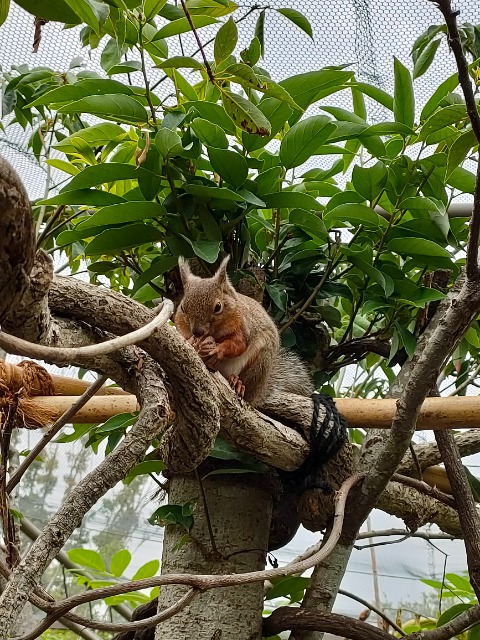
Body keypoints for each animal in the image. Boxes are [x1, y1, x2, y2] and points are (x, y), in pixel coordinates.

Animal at [174, 255, 314, 404]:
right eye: (182, 307)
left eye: (218, 307)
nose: (197, 332)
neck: (213, 331)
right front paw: (191, 341)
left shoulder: (243, 325)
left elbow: (239, 344)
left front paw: (219, 349)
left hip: (259, 364)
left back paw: (238, 383)